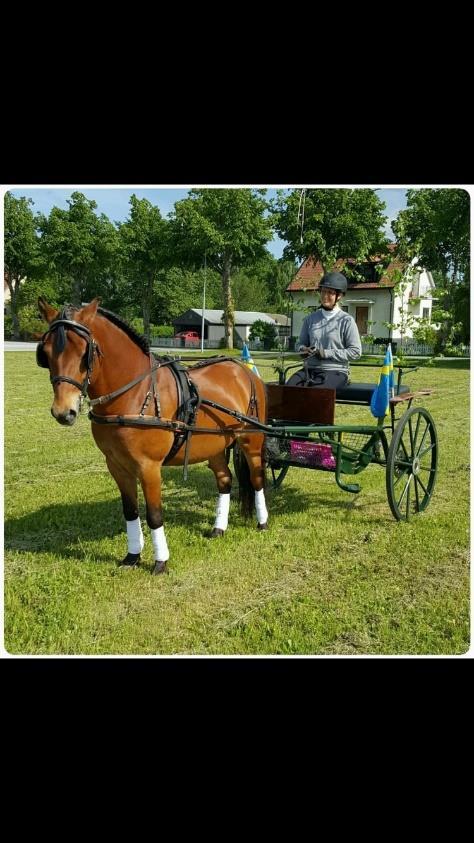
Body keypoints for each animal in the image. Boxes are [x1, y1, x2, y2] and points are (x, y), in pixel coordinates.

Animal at [35, 296, 268, 572]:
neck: (136, 393)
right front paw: (132, 556)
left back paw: (262, 522)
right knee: (224, 480)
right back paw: (218, 528)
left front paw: (160, 561)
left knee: (256, 479)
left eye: (85, 353)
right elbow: (130, 511)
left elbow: (154, 515)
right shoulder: (117, 465)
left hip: (251, 440)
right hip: (214, 445)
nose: (63, 411)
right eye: (46, 353)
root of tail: (243, 370)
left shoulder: (149, 467)